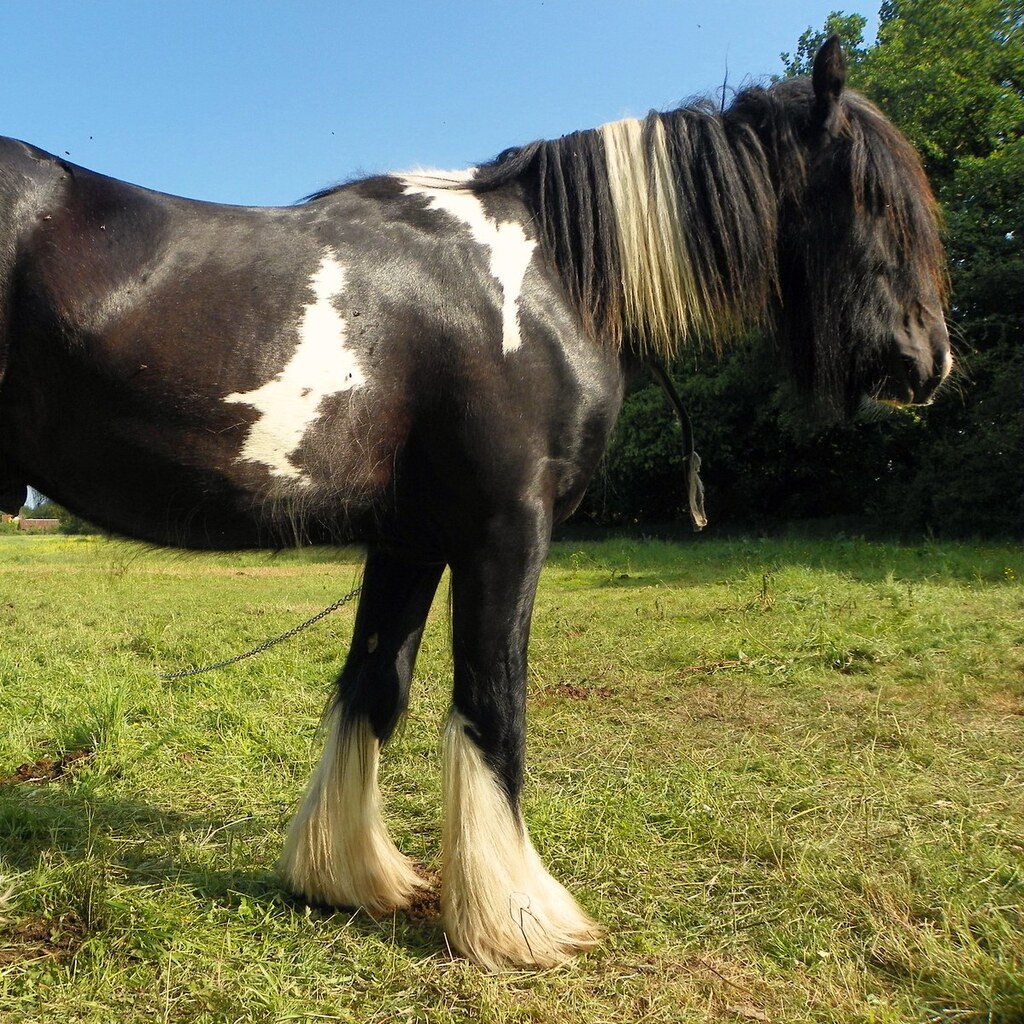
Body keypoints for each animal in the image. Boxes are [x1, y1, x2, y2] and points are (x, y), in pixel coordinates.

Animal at [0, 38, 950, 969]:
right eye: (873, 200)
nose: (930, 358)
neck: (544, 282)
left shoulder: (410, 538)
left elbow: (374, 688)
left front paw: (350, 877)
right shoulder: (505, 529)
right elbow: (494, 707)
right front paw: (520, 920)